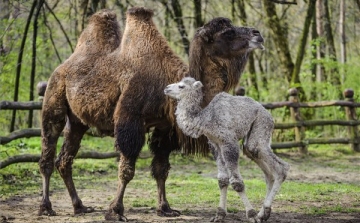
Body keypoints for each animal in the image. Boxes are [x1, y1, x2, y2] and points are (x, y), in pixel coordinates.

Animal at [38, 6, 264, 220]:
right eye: (228, 32)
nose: (258, 34)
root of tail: (63, 66)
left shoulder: (165, 128)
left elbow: (161, 170)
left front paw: (165, 208)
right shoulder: (130, 121)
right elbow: (126, 170)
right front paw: (115, 211)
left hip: (77, 121)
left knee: (65, 160)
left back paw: (80, 206)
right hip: (53, 99)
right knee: (48, 154)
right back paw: (46, 207)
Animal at [165, 77, 292, 223]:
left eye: (181, 86)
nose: (166, 88)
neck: (205, 119)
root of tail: (269, 115)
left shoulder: (229, 142)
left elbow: (237, 183)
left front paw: (251, 215)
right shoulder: (215, 144)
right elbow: (222, 180)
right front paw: (219, 215)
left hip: (261, 124)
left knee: (280, 167)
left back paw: (264, 211)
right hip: (251, 141)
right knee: (264, 168)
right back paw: (263, 214)